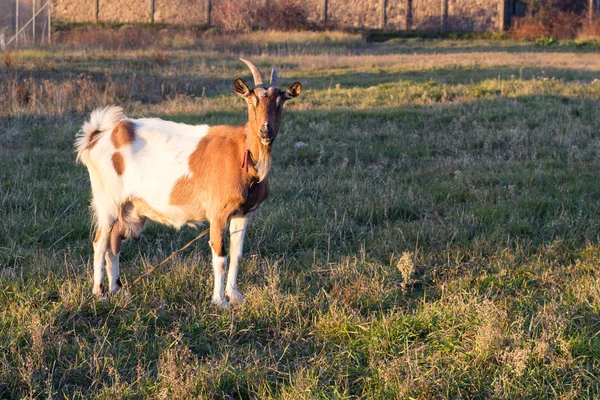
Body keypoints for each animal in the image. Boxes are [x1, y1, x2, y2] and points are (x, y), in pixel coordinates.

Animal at [75, 57, 302, 304]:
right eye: (251, 101)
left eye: (281, 102)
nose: (265, 130)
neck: (243, 152)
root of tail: (98, 137)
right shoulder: (218, 212)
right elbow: (220, 256)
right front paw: (219, 301)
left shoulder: (243, 213)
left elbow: (236, 254)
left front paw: (234, 296)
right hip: (107, 200)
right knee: (100, 242)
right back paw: (99, 293)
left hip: (129, 207)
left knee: (114, 243)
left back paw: (118, 291)